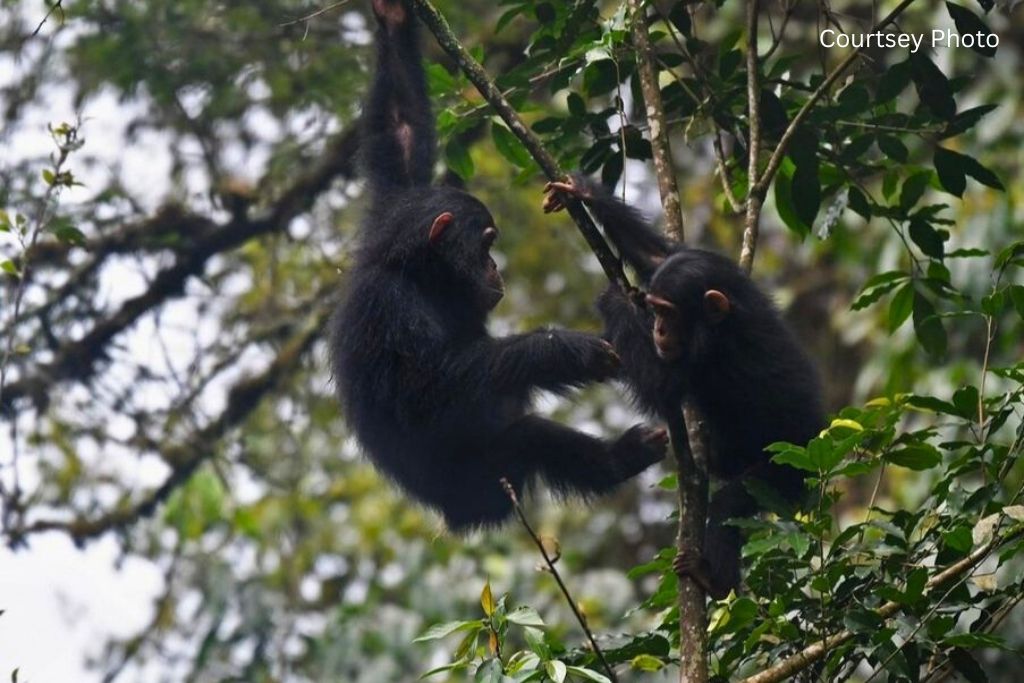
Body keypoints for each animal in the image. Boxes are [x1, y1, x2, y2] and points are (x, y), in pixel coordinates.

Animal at [329, 0, 671, 532]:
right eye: (486, 243)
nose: (495, 267)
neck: (423, 276)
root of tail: (457, 516)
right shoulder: (388, 306)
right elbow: (428, 388)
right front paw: (563, 349)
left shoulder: (392, 205)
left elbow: (400, 131)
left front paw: (394, 18)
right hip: (485, 478)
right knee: (526, 435)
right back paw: (618, 457)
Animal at [544, 175, 823, 598]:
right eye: (657, 311)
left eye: (668, 313)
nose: (659, 329)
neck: (722, 317)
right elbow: (658, 256)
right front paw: (583, 190)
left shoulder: (707, 353)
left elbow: (661, 389)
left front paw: (615, 299)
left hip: (787, 470)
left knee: (731, 503)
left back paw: (714, 577)